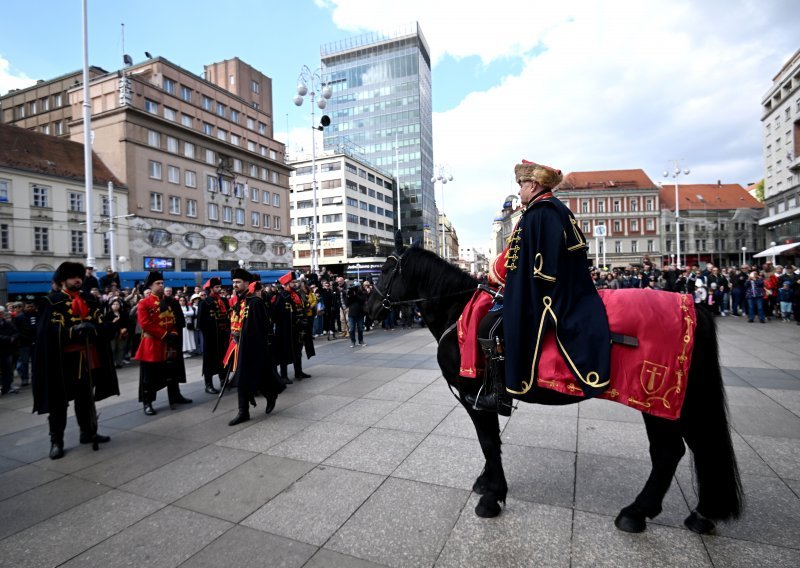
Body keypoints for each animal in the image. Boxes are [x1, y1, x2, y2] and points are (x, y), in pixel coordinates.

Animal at [368, 234, 744, 532]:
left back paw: (637, 513)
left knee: (668, 452)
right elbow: (491, 444)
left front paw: (492, 496)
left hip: (656, 400)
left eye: (385, 270)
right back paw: (701, 513)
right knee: (697, 446)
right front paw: (487, 483)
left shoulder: (475, 396)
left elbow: (488, 442)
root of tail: (691, 307)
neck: (457, 313)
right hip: (683, 401)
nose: (371, 307)